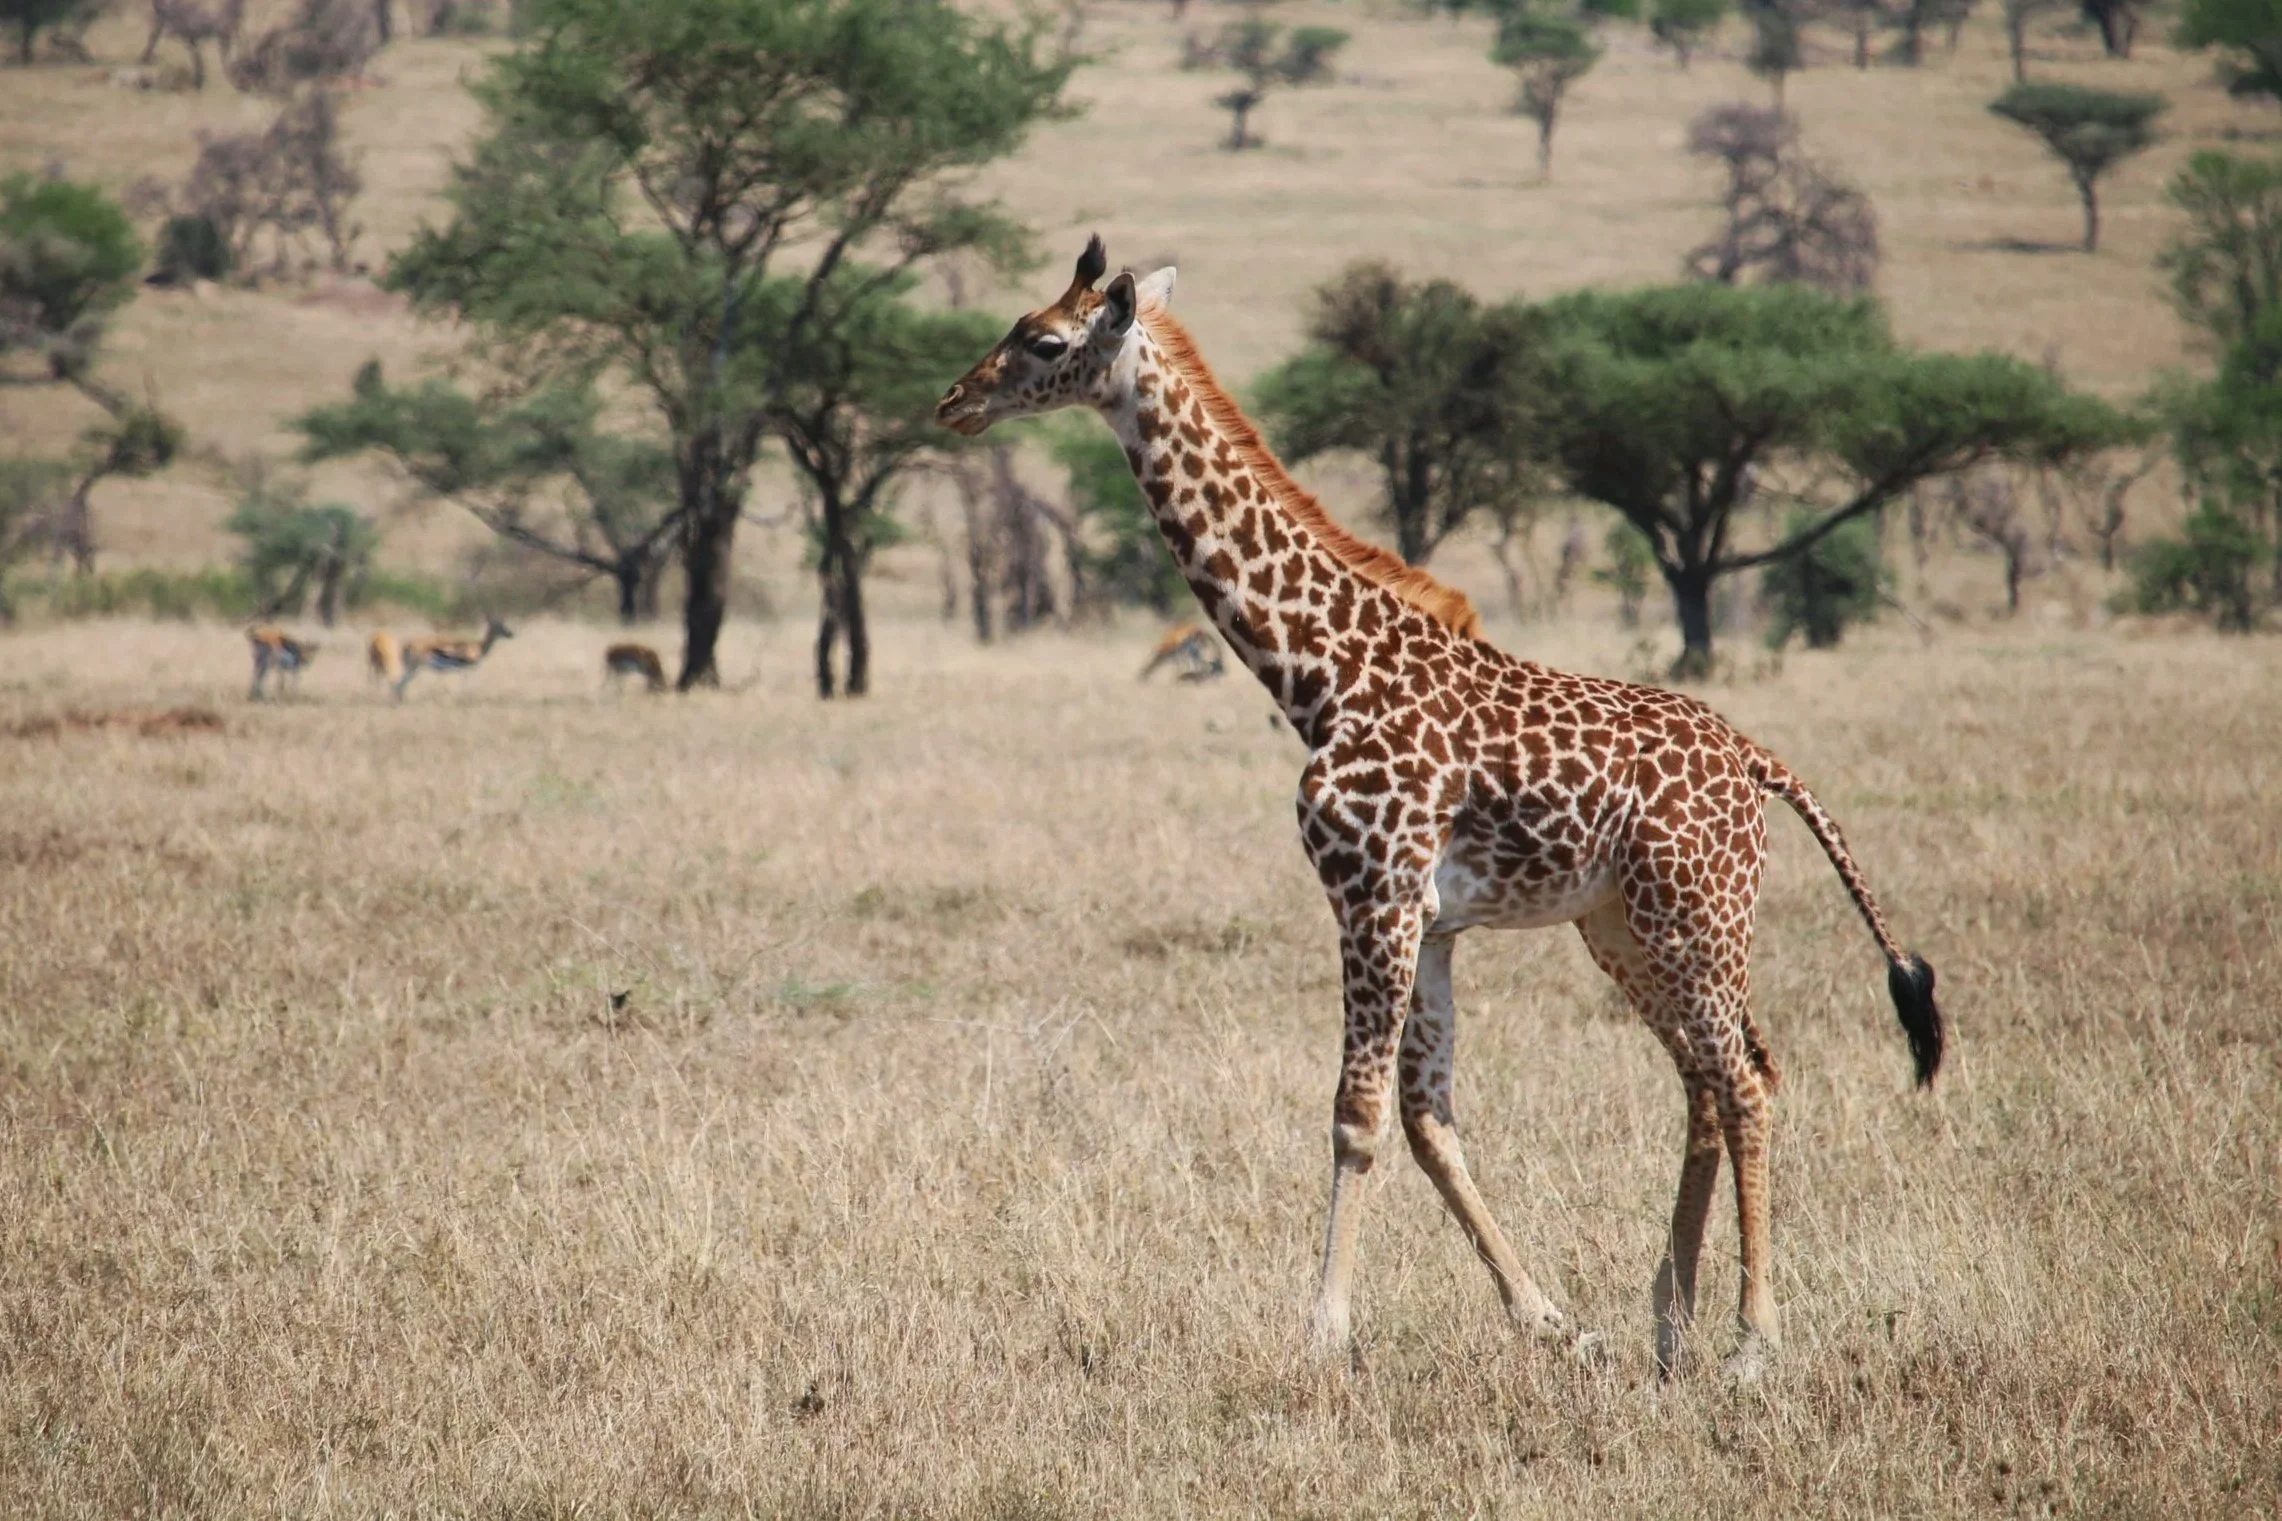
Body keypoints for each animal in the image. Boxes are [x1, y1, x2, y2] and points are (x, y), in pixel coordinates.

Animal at [937, 237, 1945, 1379]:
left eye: (1042, 340)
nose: (953, 400)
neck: (1319, 674)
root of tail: (1759, 762)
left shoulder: (1371, 897)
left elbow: (1358, 1113)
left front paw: (1324, 1330)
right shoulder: (1429, 921)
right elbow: (1428, 1118)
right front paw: (1549, 1317)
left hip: (1698, 914)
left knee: (1744, 1079)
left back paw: (1750, 1340)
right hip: (1622, 926)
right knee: (1706, 1076)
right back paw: (1666, 1319)